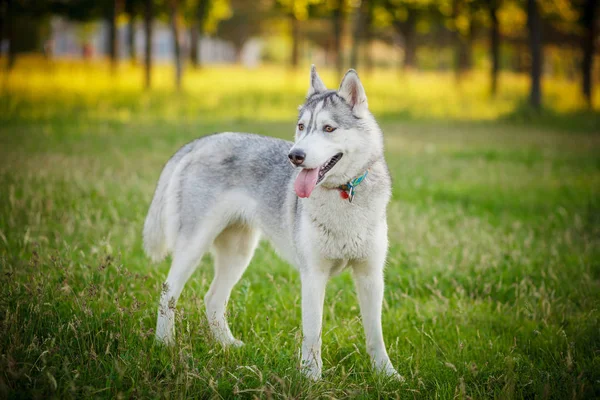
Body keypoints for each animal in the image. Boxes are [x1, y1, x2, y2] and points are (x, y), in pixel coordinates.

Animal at [144, 66, 400, 382]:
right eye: (301, 126)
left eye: (329, 129)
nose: (295, 156)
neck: (344, 196)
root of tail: (203, 141)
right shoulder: (313, 275)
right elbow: (313, 333)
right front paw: (311, 378)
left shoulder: (370, 275)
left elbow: (375, 335)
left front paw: (387, 375)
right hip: (194, 245)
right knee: (168, 292)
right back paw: (164, 343)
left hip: (239, 253)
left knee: (213, 299)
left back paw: (227, 345)